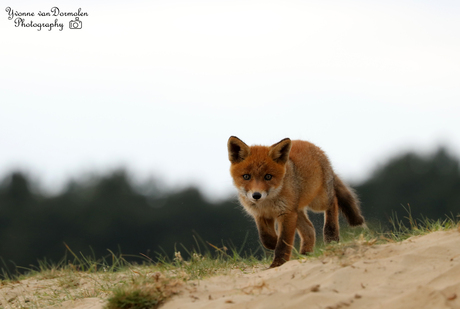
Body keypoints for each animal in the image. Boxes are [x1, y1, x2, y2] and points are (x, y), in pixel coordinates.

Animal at [226, 136, 362, 266]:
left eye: (268, 176)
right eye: (246, 176)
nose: (256, 195)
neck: (267, 204)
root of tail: (313, 145)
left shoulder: (286, 214)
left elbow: (283, 243)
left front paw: (278, 263)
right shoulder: (261, 215)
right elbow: (266, 238)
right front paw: (275, 244)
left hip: (318, 202)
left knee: (333, 200)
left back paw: (331, 235)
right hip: (297, 210)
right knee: (310, 230)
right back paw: (305, 254)